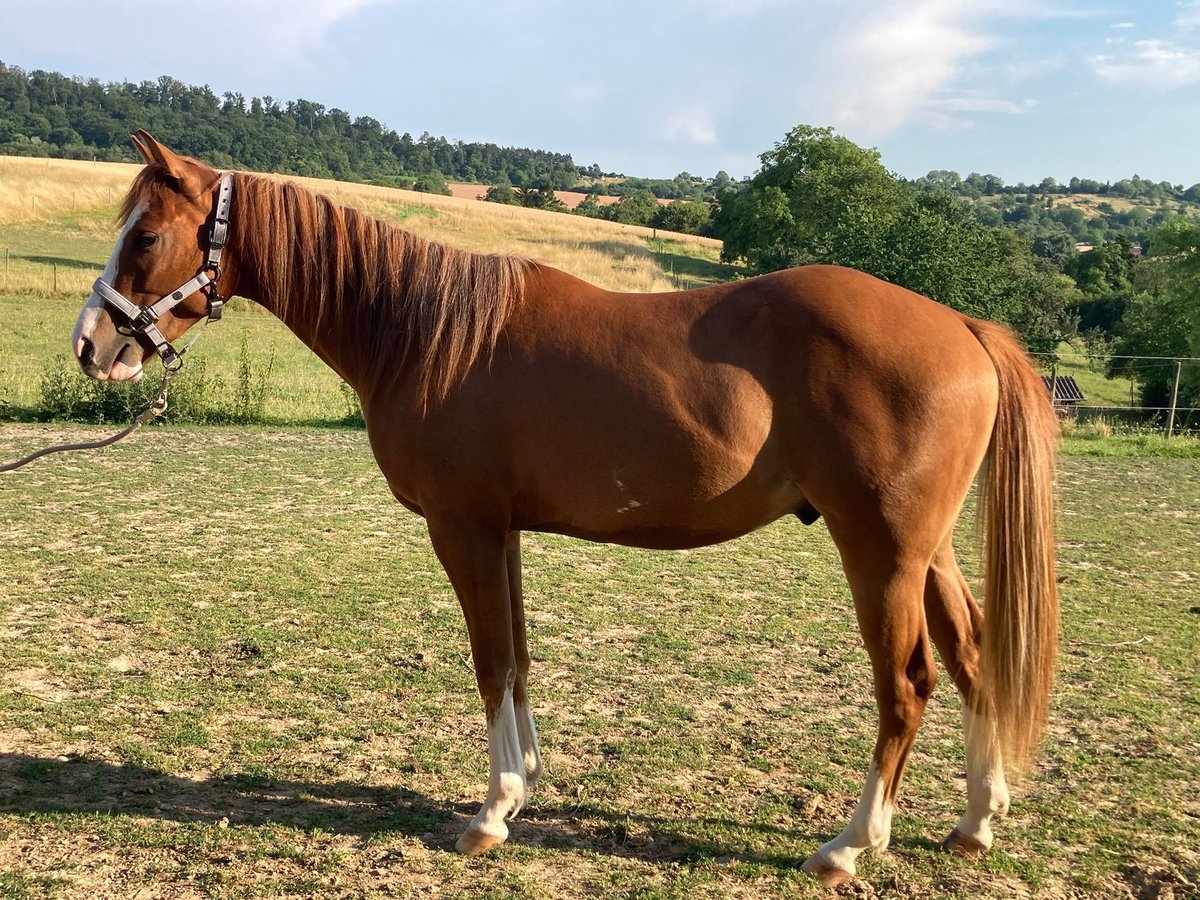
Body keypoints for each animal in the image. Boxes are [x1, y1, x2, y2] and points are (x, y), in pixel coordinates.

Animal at [70, 131, 1058, 886]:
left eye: (146, 237)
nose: (91, 346)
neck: (425, 333)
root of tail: (962, 327)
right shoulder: (500, 531)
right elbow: (517, 658)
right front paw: (525, 781)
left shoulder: (462, 528)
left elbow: (489, 662)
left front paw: (491, 812)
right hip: (927, 552)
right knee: (974, 654)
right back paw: (975, 821)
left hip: (881, 551)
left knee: (908, 683)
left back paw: (849, 846)